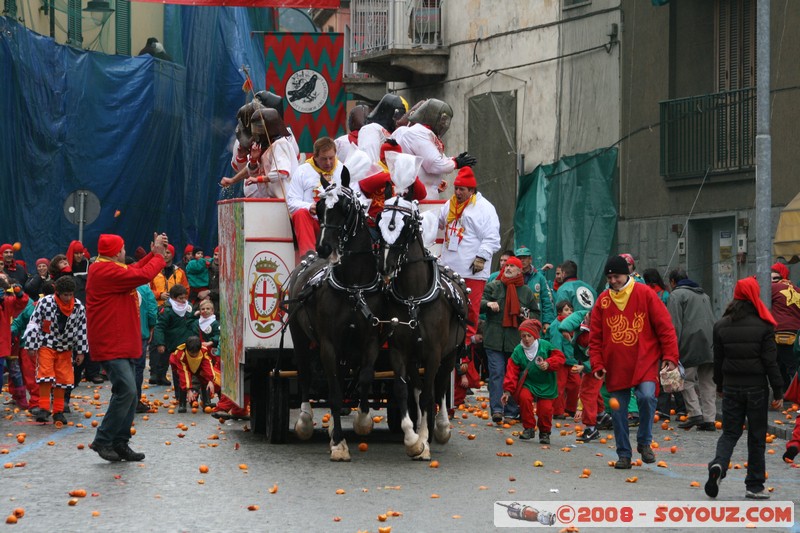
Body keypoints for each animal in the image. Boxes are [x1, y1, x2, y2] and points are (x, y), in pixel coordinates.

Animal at [282, 171, 384, 462]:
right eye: (318, 208)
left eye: (345, 207)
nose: (325, 247)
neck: (353, 287)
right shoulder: (328, 344)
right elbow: (335, 393)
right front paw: (338, 442)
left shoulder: (370, 339)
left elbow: (364, 377)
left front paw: (362, 421)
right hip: (299, 336)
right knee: (306, 374)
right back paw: (305, 421)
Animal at [378, 193, 472, 460]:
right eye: (378, 221)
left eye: (406, 227)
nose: (385, 267)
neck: (413, 298)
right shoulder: (400, 352)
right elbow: (403, 391)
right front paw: (413, 440)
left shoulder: (433, 353)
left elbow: (431, 393)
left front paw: (426, 439)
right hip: (415, 358)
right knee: (419, 390)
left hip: (450, 354)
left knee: (438, 388)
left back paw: (440, 428)